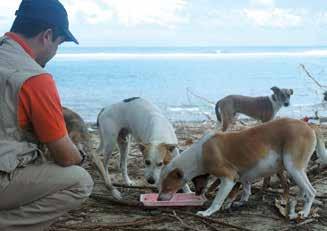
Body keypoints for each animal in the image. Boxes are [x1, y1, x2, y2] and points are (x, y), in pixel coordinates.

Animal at [159, 119, 327, 218]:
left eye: (167, 187)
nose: (159, 199)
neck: (198, 153)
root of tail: (308, 125)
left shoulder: (228, 178)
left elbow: (218, 200)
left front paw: (208, 212)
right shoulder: (243, 175)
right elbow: (245, 189)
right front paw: (240, 201)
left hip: (293, 167)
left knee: (311, 191)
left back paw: (305, 211)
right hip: (296, 170)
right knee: (303, 188)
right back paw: (297, 201)